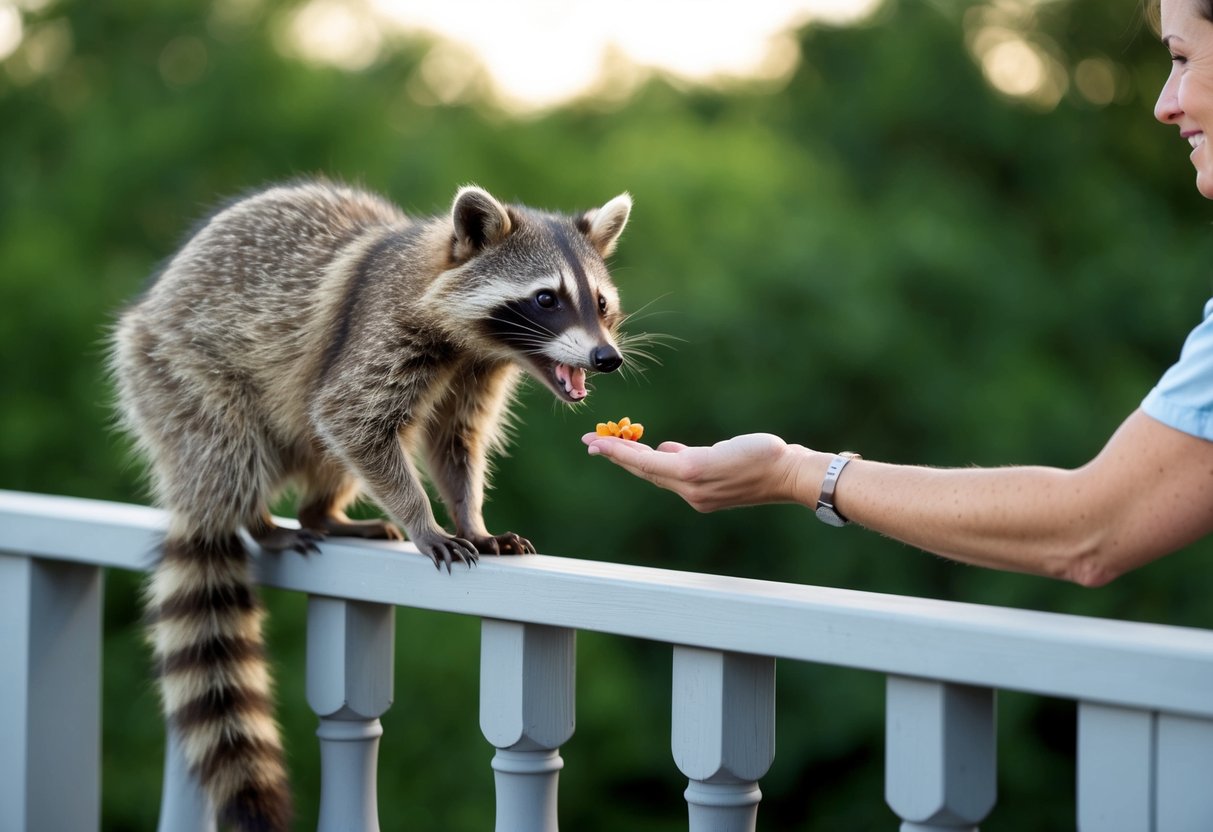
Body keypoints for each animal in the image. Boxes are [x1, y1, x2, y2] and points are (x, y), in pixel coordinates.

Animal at [110, 179, 632, 831]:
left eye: (602, 304)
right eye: (546, 299)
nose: (607, 357)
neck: (471, 337)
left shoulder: (474, 372)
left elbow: (453, 443)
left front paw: (470, 518)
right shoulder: (382, 328)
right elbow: (350, 417)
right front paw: (424, 521)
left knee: (326, 453)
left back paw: (323, 514)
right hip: (174, 374)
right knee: (238, 442)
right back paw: (257, 519)